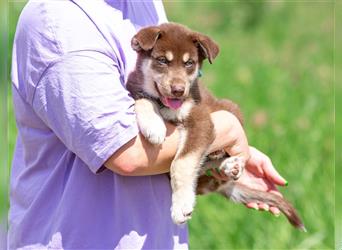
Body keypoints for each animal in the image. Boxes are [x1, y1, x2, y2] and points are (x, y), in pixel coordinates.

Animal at [127, 23, 306, 230]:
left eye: (189, 63)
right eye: (162, 60)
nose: (179, 90)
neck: (167, 106)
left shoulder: (201, 120)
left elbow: (181, 163)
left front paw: (181, 206)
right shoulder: (136, 89)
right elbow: (142, 100)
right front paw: (154, 126)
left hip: (230, 109)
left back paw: (229, 164)